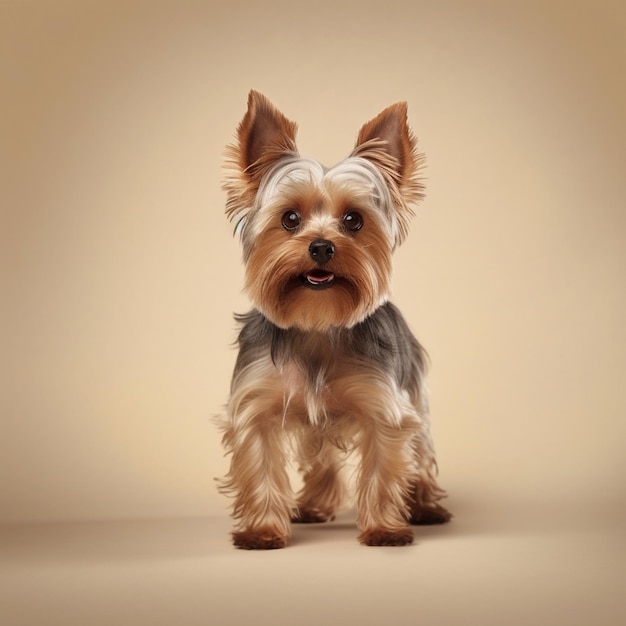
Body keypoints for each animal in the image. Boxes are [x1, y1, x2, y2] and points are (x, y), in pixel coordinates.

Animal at [216, 89, 448, 544]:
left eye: (353, 220)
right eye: (289, 218)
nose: (322, 246)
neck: (317, 323)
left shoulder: (384, 406)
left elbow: (384, 468)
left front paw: (384, 530)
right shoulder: (256, 404)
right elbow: (260, 464)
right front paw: (263, 531)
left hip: (416, 395)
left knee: (422, 451)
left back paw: (427, 507)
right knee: (321, 457)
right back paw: (313, 507)